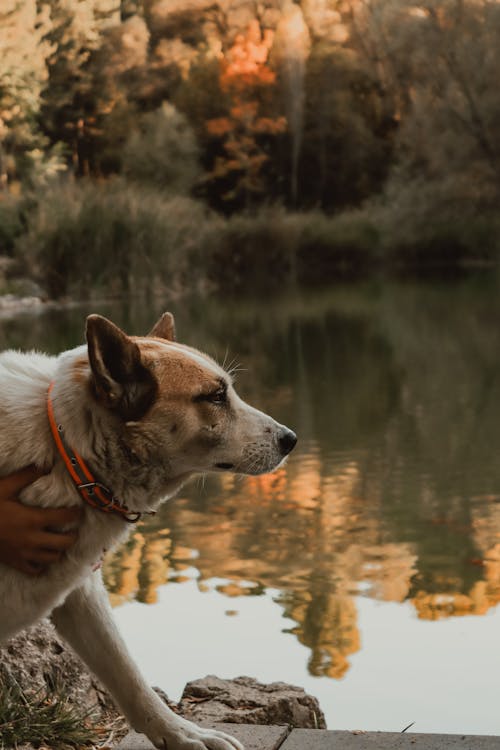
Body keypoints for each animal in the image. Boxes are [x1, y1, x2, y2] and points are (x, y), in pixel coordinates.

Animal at [0, 312, 296, 750]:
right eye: (215, 396)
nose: (291, 439)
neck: (66, 450)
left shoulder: (82, 595)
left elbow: (128, 676)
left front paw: (183, 734)